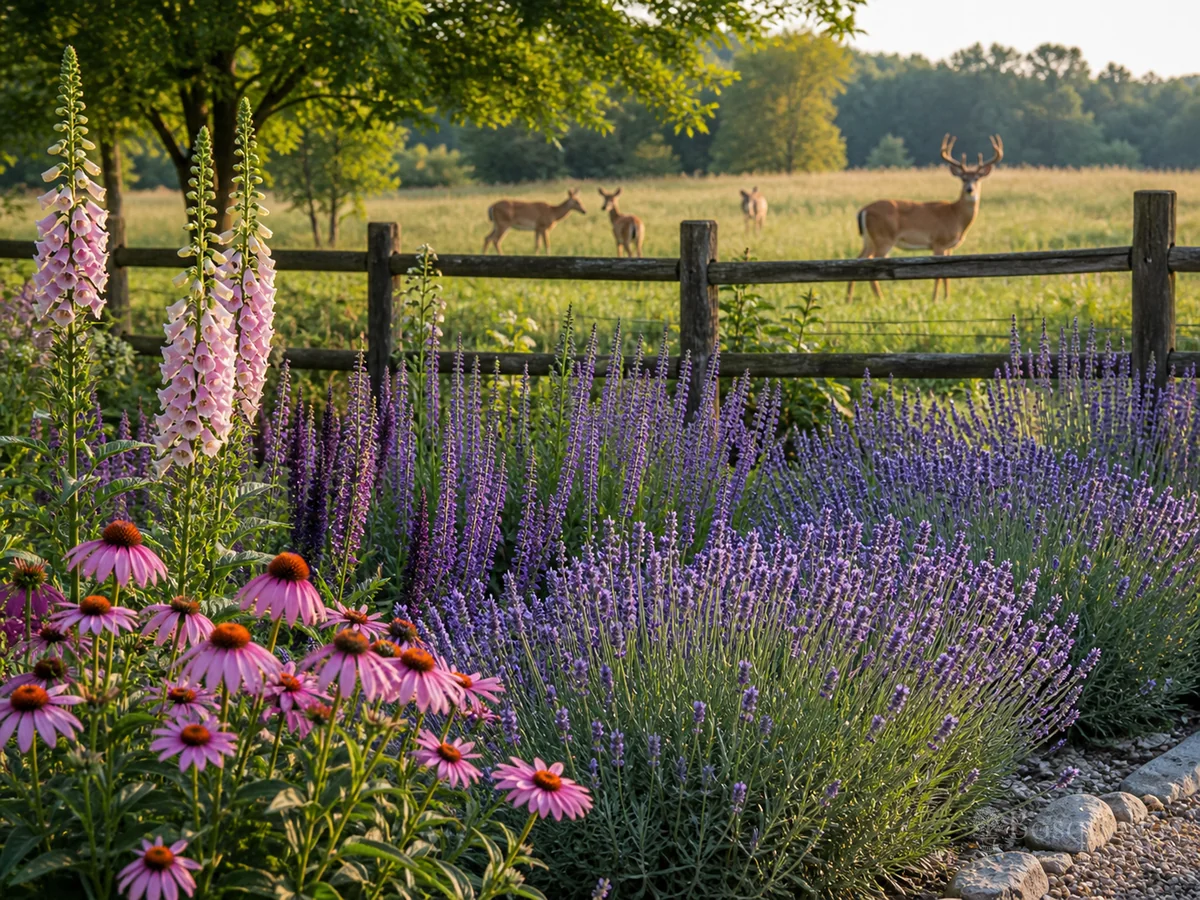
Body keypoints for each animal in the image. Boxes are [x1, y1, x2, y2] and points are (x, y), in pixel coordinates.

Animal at [847, 134, 1003, 302]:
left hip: (869, 239)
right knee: (871, 263)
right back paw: (880, 298)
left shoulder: (949, 247)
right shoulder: (938, 242)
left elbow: (948, 276)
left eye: (977, 178)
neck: (956, 216)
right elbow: (938, 276)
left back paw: (849, 298)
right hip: (883, 238)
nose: (970, 190)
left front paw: (947, 298)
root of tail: (863, 210)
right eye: (963, 178)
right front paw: (935, 299)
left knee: (858, 259)